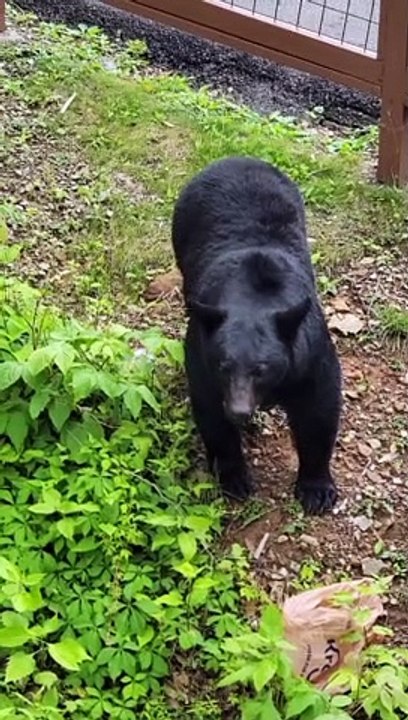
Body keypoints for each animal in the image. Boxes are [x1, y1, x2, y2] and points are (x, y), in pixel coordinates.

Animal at [171, 156, 342, 514]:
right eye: (223, 365)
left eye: (261, 368)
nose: (239, 410)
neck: (254, 297)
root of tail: (235, 158)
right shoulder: (201, 353)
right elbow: (211, 413)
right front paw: (234, 478)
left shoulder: (309, 353)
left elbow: (319, 409)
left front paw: (317, 490)